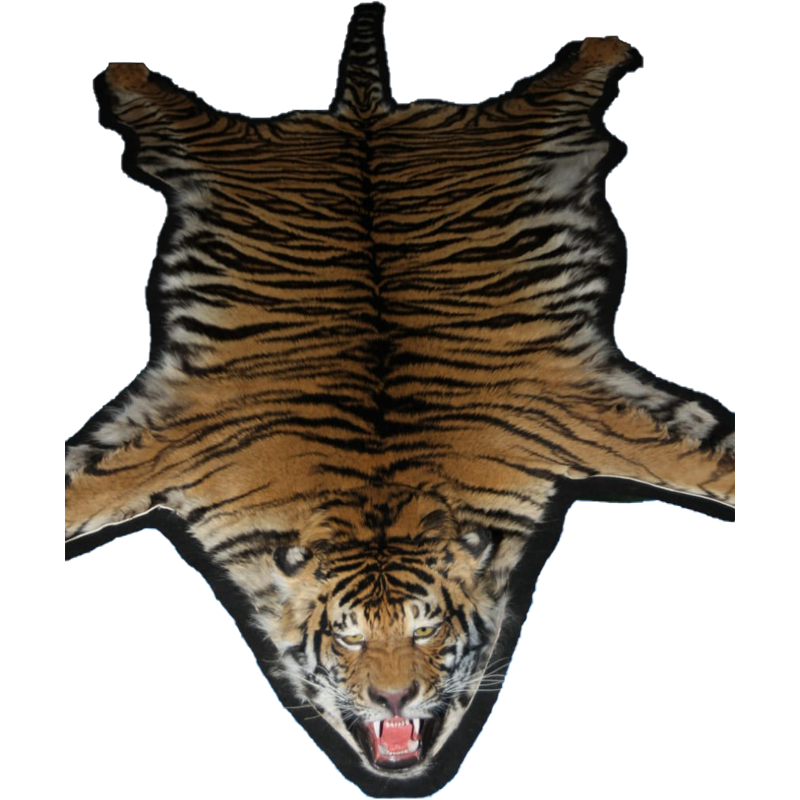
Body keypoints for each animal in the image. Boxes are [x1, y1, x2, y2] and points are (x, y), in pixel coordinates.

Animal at [65, 4, 734, 795]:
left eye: (425, 628)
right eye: (348, 638)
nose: (394, 698)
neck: (374, 504)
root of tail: (365, 114)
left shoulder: (587, 418)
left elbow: (711, 458)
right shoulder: (167, 450)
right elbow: (77, 487)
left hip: (506, 128)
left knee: (555, 90)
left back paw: (603, 42)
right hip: (228, 147)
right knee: (174, 115)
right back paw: (122, 69)